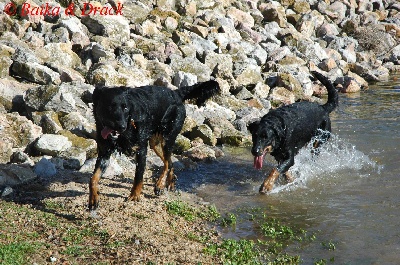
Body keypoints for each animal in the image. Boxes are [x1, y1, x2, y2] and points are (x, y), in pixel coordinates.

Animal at [89, 79, 220, 209]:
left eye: (125, 108)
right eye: (110, 106)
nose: (122, 126)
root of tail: (176, 93)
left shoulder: (141, 150)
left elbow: (138, 176)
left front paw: (134, 196)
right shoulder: (104, 153)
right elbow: (93, 178)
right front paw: (93, 198)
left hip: (167, 138)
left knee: (167, 163)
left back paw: (159, 185)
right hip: (154, 143)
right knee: (170, 162)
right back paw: (170, 182)